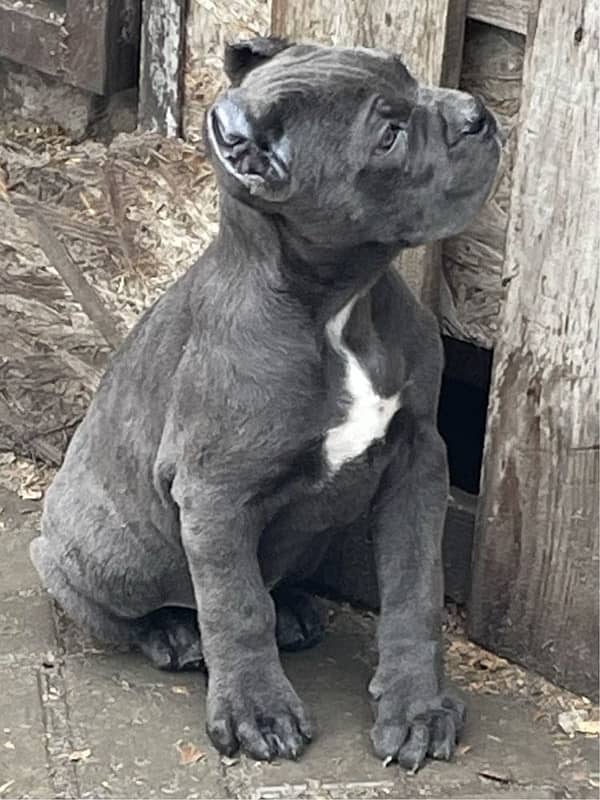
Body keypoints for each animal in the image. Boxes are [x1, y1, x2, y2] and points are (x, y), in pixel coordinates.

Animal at [31, 39, 502, 776]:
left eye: (407, 71)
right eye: (389, 135)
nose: (478, 114)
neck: (338, 309)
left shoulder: (419, 457)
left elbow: (415, 589)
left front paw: (418, 709)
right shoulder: (215, 495)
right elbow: (236, 607)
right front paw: (256, 711)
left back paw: (295, 610)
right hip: (99, 547)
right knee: (113, 601)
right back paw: (172, 633)